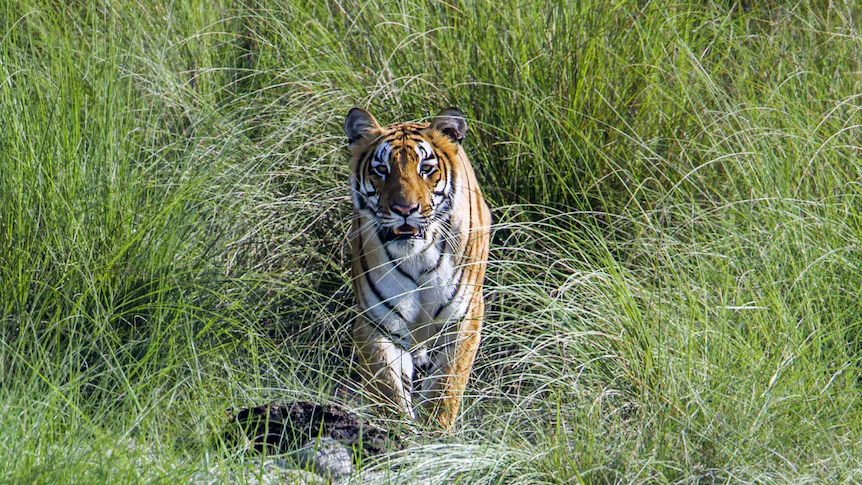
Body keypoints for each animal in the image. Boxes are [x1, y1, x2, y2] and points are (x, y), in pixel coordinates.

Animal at [346, 106, 492, 428]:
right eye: (381, 170)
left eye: (426, 168)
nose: (404, 210)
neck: (417, 257)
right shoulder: (378, 322)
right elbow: (388, 388)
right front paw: (397, 431)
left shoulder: (462, 317)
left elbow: (445, 388)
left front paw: (436, 433)